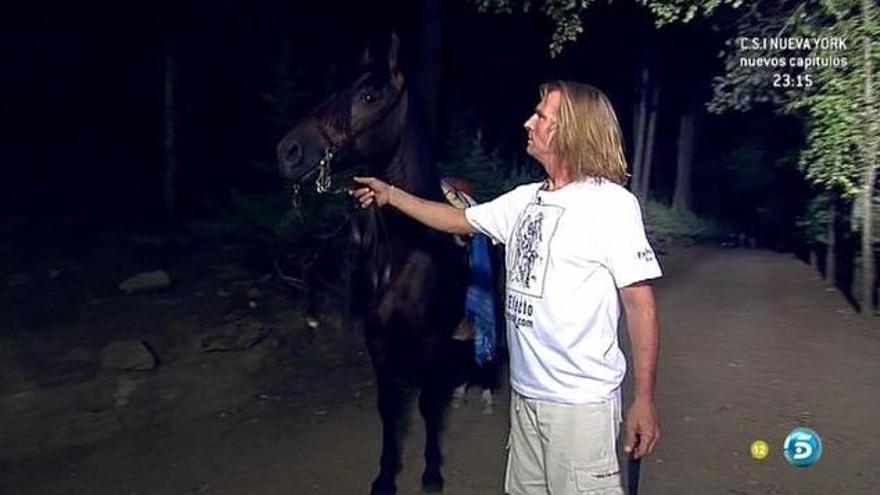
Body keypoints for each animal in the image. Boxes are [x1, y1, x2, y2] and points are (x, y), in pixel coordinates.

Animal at [276, 33, 470, 494]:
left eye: (369, 95)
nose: (287, 151)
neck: (408, 253)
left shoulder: (432, 338)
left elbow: (428, 403)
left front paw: (431, 471)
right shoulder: (377, 339)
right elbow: (388, 404)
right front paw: (385, 474)